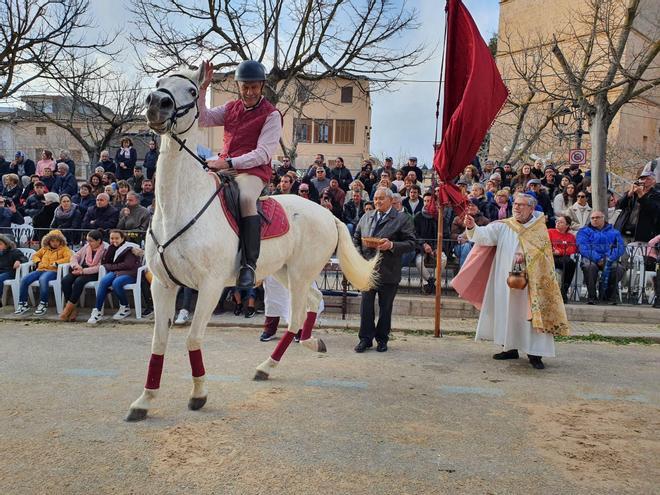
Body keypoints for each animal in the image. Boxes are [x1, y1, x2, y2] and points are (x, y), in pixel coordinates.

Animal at [125, 66, 378, 422]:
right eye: (160, 84)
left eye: (191, 91)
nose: (156, 104)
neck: (179, 207)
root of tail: (329, 216)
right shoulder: (162, 285)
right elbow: (158, 344)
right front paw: (145, 401)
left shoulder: (210, 285)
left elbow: (192, 338)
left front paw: (199, 394)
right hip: (285, 273)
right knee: (313, 303)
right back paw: (310, 344)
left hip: (298, 274)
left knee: (296, 318)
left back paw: (268, 365)